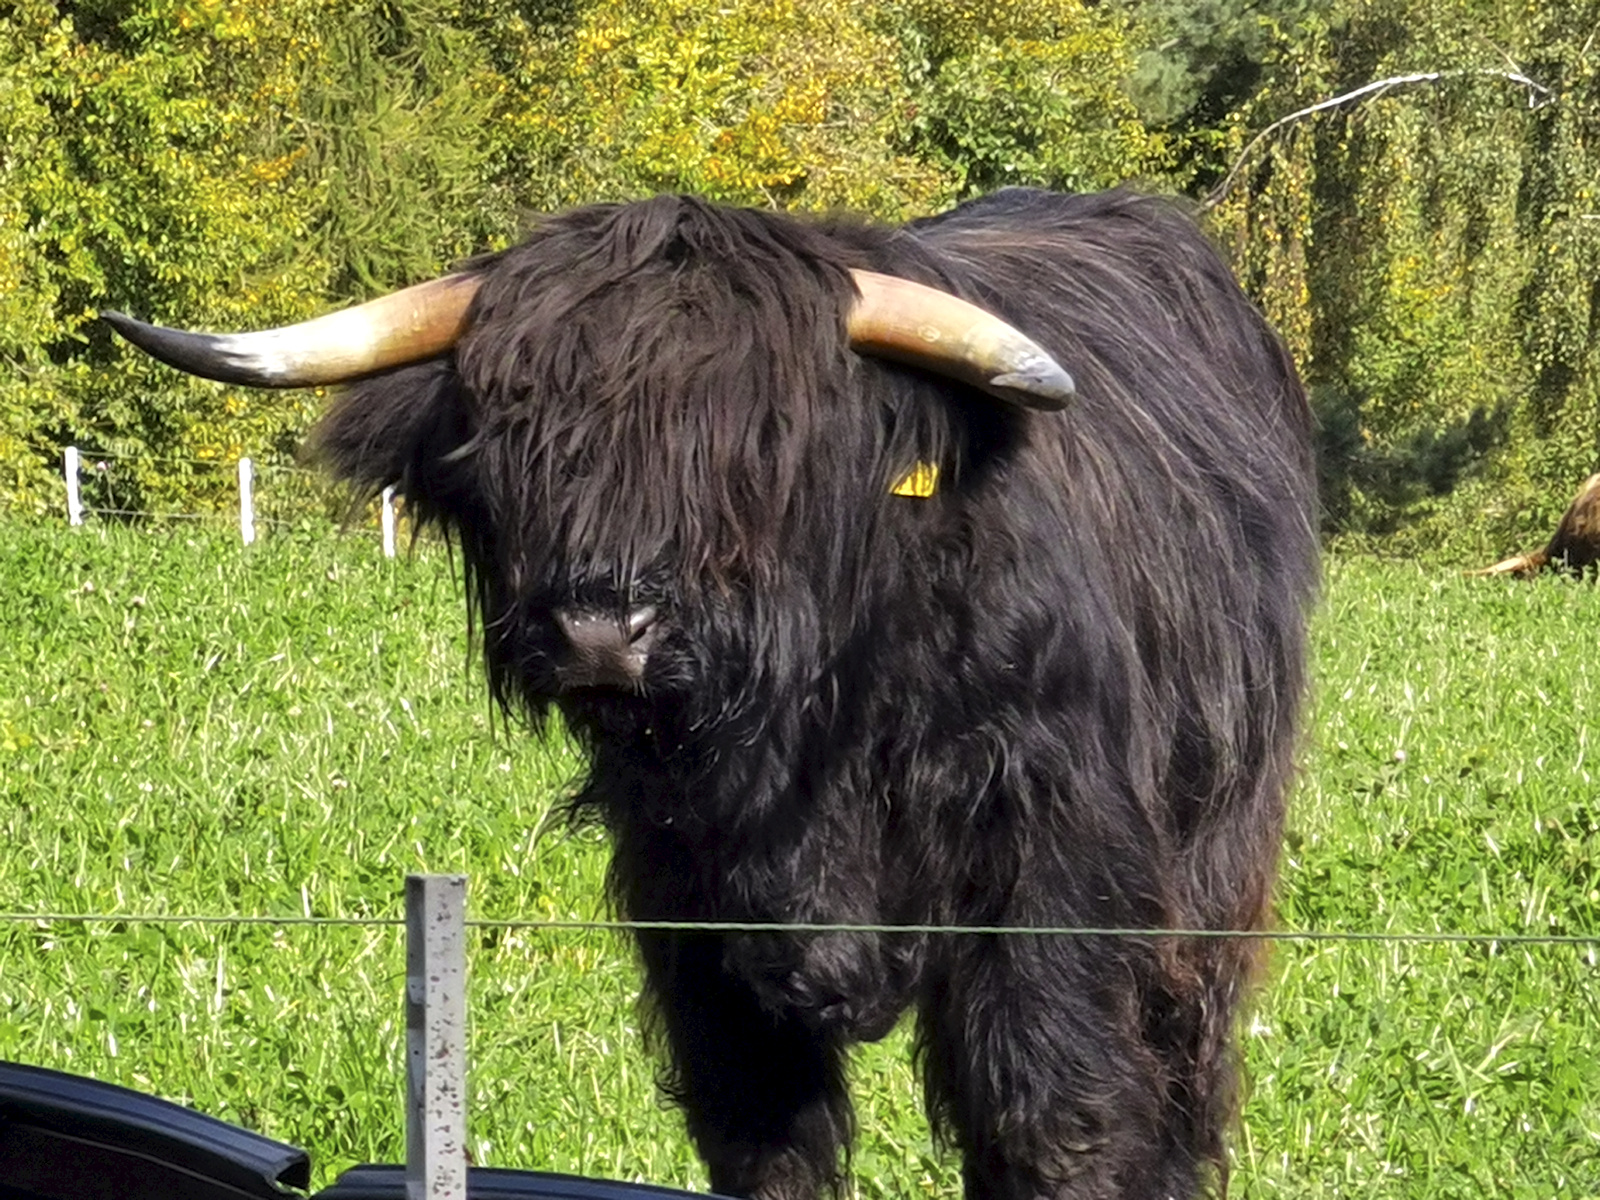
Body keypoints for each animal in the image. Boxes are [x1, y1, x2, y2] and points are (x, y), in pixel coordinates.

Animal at [105, 187, 1319, 1200]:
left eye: (758, 447)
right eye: (516, 438)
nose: (601, 629)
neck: (818, 723)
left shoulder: (1052, 878)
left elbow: (1057, 1122)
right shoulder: (691, 909)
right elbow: (763, 1137)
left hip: (1213, 863)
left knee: (1179, 1069)